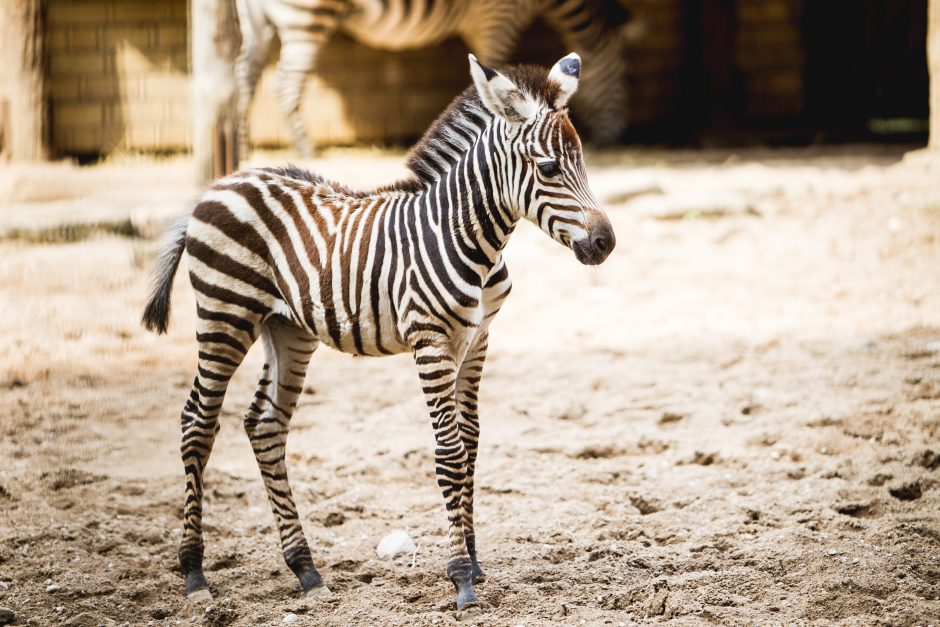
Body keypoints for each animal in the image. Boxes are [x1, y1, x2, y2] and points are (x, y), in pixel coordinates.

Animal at [143, 52, 616, 612]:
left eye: (582, 160)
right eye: (547, 168)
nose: (606, 242)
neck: (468, 236)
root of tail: (217, 186)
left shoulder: (477, 340)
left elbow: (471, 444)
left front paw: (475, 563)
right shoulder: (430, 341)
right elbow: (450, 453)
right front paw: (461, 578)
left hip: (287, 328)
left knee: (265, 425)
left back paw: (306, 569)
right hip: (225, 313)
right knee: (197, 423)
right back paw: (195, 572)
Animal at [235, 0, 632, 158]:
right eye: (622, 81)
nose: (612, 139)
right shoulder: (497, 18)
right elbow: (495, 68)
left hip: (259, 22)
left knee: (245, 75)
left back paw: (241, 146)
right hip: (306, 18)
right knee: (286, 83)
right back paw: (307, 149)